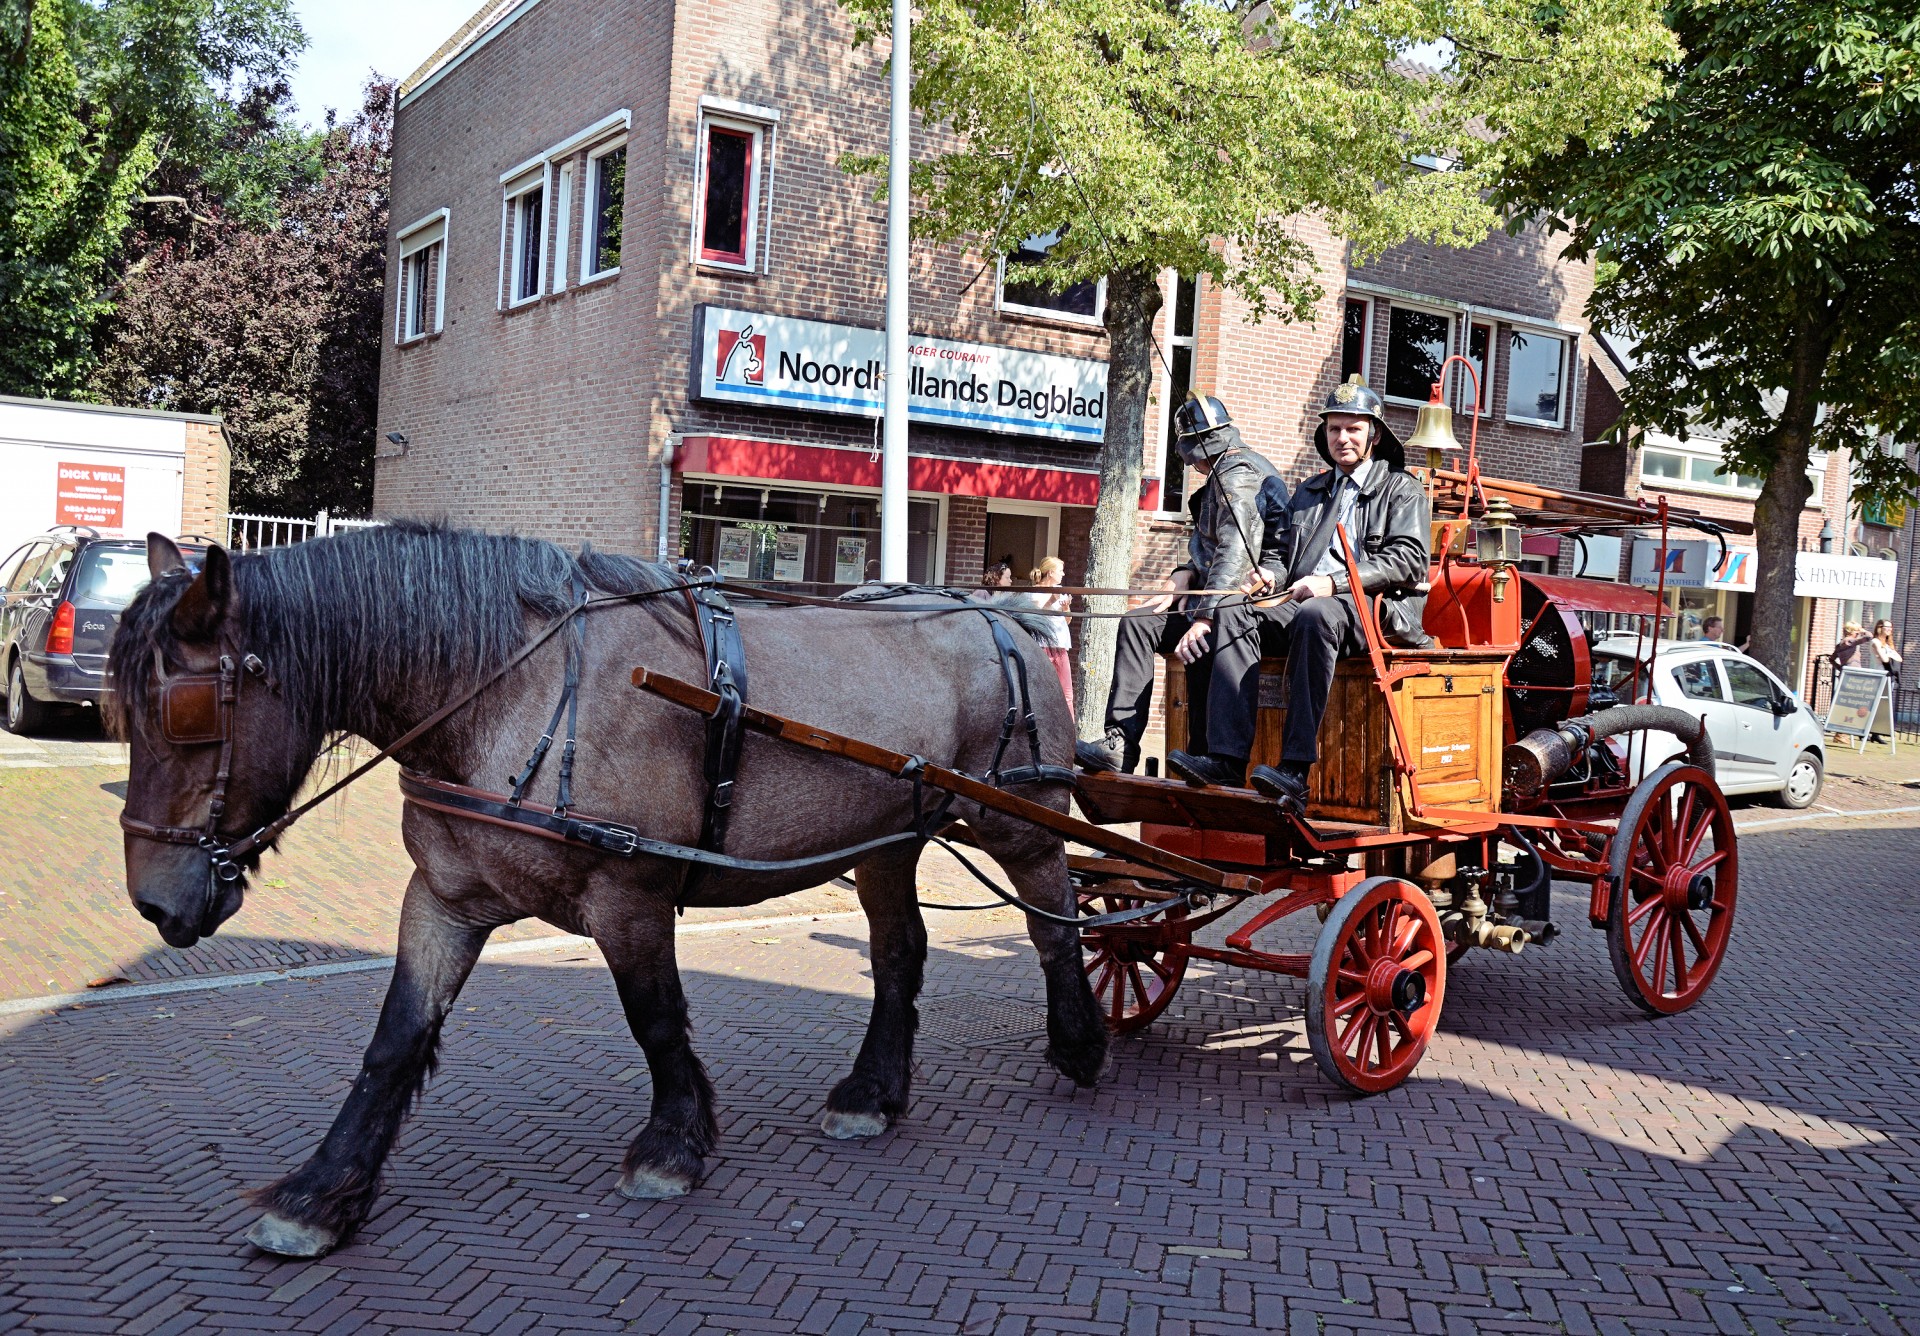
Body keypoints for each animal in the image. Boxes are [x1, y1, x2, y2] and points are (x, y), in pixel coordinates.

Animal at [116, 525, 1113, 1259]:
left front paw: (672, 1147)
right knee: (901, 951)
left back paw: (1079, 1043)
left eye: (184, 715)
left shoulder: (627, 894)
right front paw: (323, 1193)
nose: (155, 903)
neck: (512, 692)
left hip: (1021, 821)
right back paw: (872, 1094)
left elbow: (657, 1019)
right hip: (886, 844)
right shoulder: (445, 897)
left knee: (1056, 926)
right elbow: (395, 1042)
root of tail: (1005, 615)